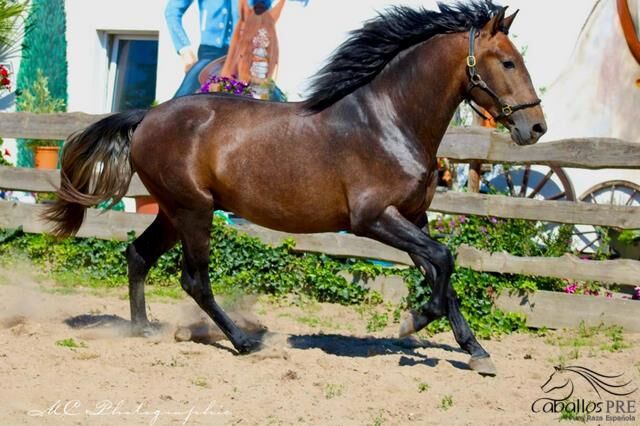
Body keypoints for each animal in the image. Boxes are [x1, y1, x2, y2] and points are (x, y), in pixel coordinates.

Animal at [45, 2, 544, 376]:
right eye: (507, 62)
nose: (535, 127)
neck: (390, 121)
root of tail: (147, 116)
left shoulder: (413, 218)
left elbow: (443, 270)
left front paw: (476, 352)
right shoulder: (372, 219)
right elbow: (443, 259)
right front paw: (413, 322)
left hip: (172, 212)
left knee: (138, 255)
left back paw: (144, 330)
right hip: (193, 212)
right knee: (193, 279)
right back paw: (244, 342)